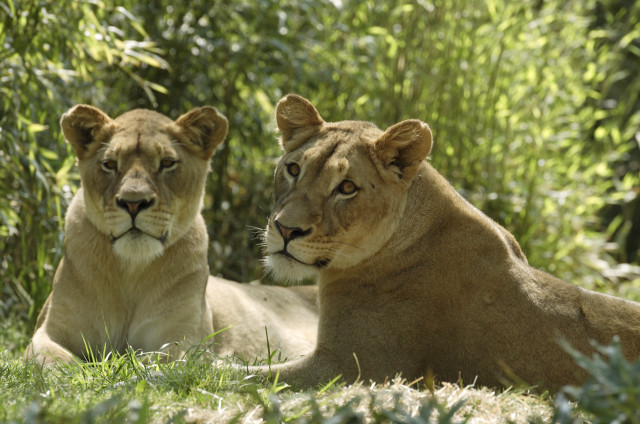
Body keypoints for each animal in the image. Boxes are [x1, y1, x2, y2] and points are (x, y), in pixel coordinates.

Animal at [24, 104, 318, 365]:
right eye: (109, 164)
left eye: (166, 163)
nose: (133, 202)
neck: (131, 271)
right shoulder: (47, 332)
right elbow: (54, 362)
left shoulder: (186, 343)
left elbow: (147, 363)